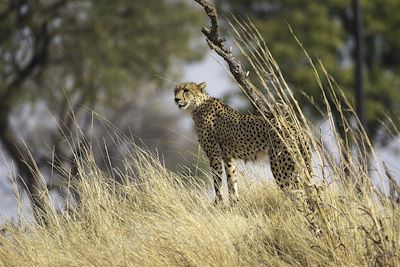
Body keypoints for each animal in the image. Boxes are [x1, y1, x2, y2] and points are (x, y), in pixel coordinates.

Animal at [173, 82, 310, 204]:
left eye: (186, 90)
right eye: (175, 90)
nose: (176, 99)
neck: (197, 105)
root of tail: (298, 129)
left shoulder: (214, 155)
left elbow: (217, 182)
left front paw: (218, 204)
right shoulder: (227, 157)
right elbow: (231, 181)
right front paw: (234, 204)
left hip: (281, 168)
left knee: (298, 195)